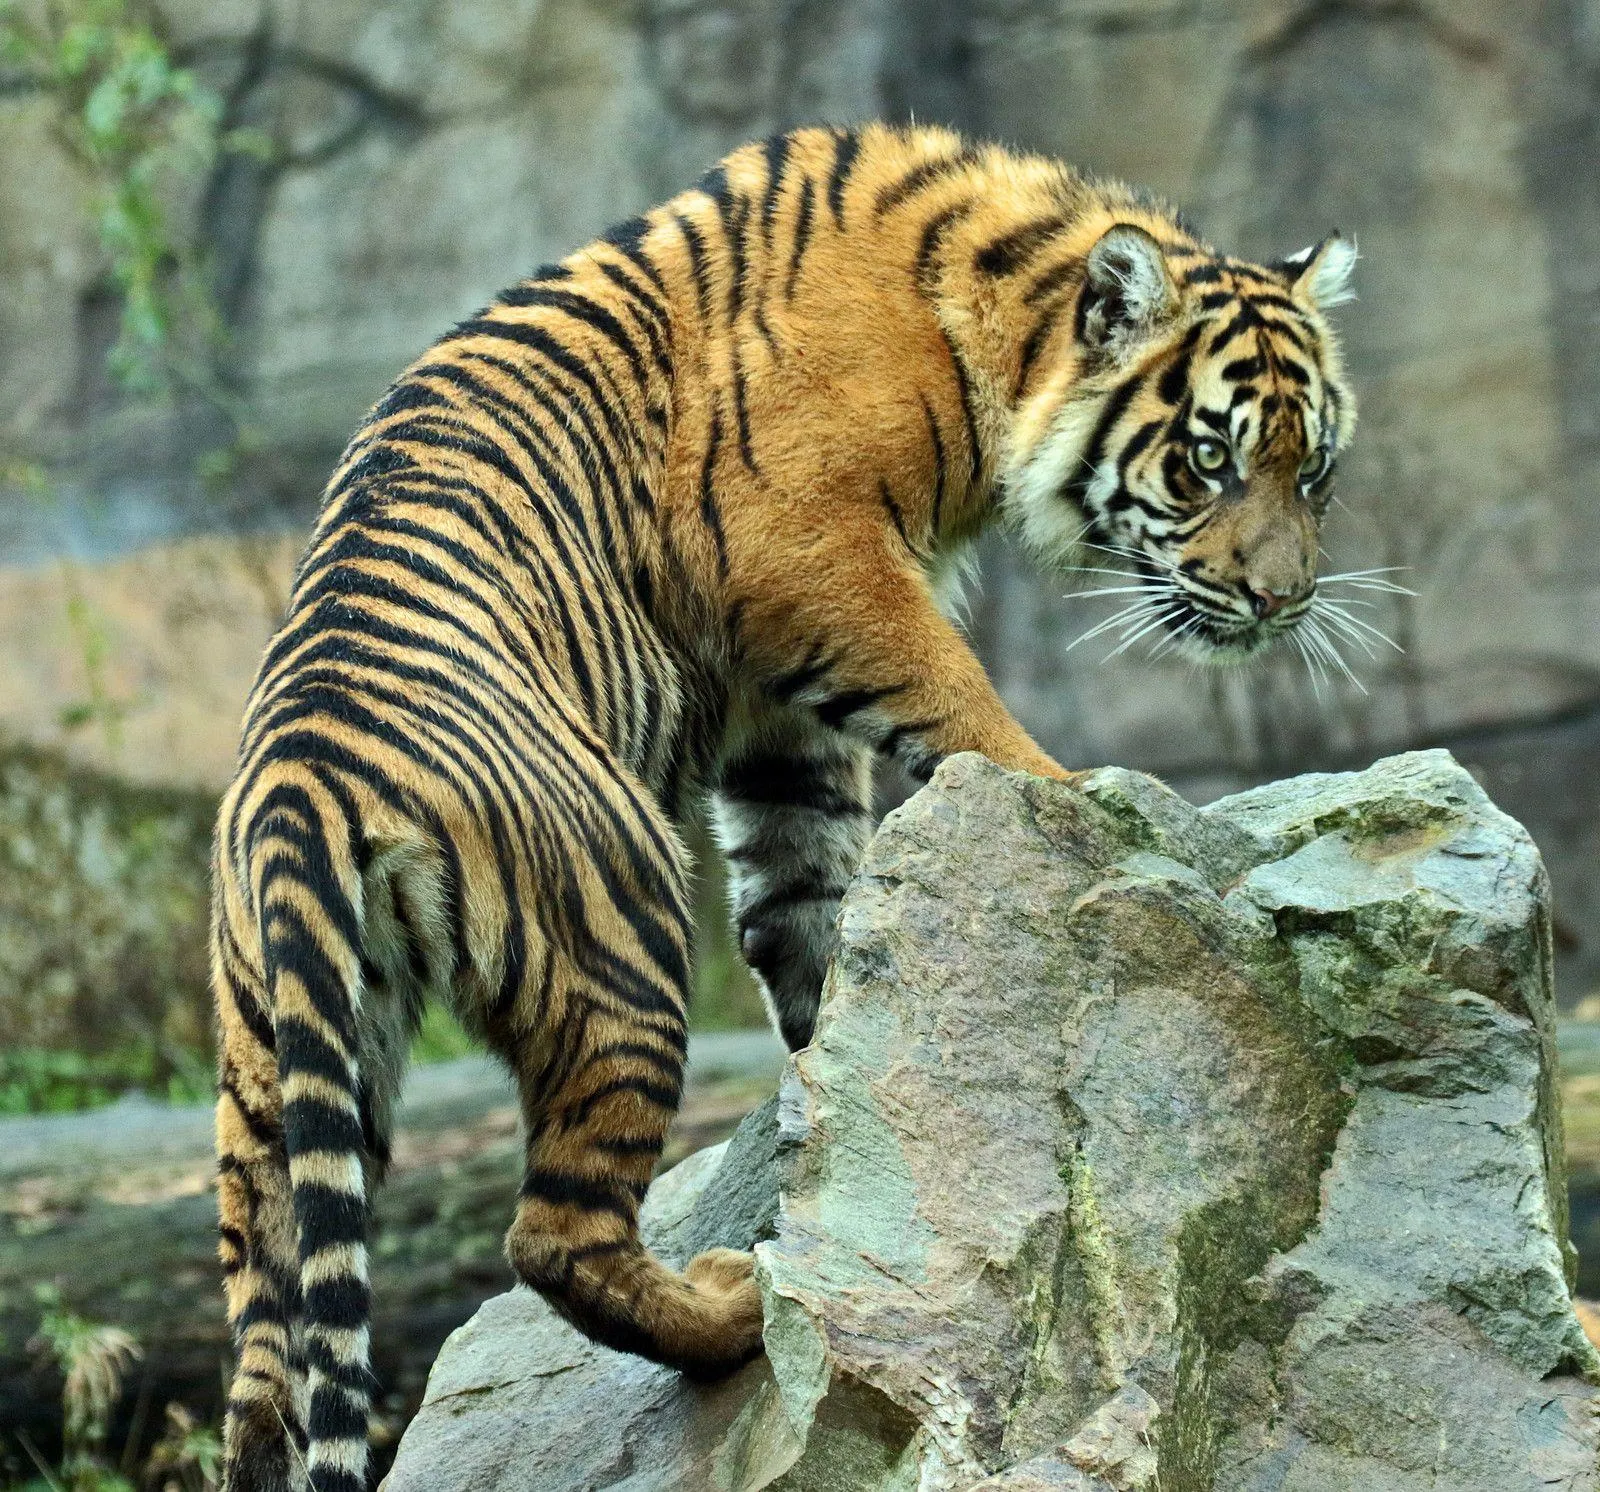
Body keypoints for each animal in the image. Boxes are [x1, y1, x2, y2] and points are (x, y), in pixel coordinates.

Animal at [211, 120, 1357, 1491]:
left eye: (1314, 470)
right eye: (1208, 458)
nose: (1283, 600)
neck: (992, 317)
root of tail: (300, 778)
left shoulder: (778, 710)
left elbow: (807, 894)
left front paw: (844, 1082)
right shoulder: (804, 548)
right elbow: (959, 701)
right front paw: (1075, 800)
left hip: (283, 1067)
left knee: (267, 1352)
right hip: (623, 935)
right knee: (553, 1235)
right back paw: (731, 1313)